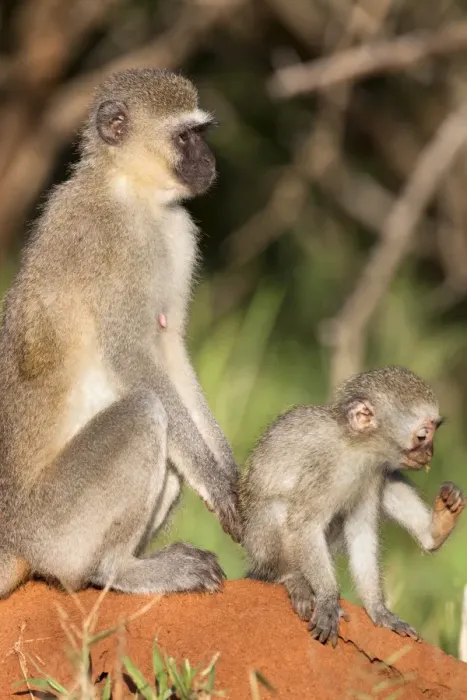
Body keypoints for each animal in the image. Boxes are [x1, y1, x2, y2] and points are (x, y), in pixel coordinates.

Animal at [0, 68, 243, 600]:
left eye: (201, 133)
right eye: (185, 137)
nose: (209, 161)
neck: (131, 192)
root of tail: (13, 534)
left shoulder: (178, 232)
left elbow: (169, 351)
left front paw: (227, 470)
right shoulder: (109, 244)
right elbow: (133, 357)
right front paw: (214, 478)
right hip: (56, 527)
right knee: (148, 411)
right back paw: (116, 570)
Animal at [240, 366, 465, 647]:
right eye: (422, 435)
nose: (430, 453)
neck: (356, 447)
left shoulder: (373, 473)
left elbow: (361, 530)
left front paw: (378, 609)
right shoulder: (326, 468)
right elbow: (304, 524)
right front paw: (328, 598)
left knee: (389, 480)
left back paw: (435, 531)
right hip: (259, 548)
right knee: (278, 509)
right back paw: (290, 577)